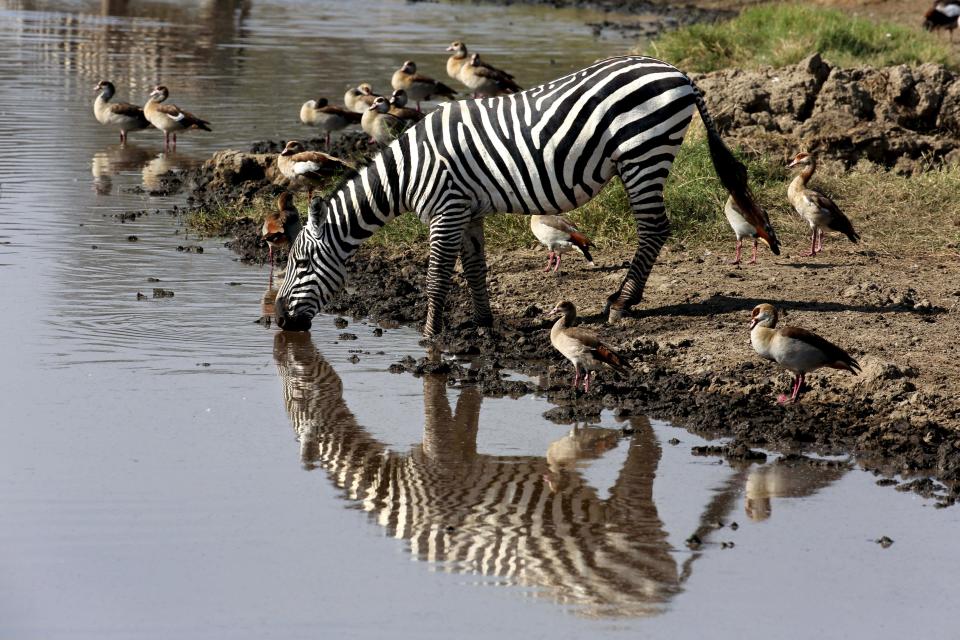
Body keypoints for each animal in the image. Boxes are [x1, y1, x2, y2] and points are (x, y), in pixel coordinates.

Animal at [270, 332, 752, 612]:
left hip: (626, 525)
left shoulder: (440, 465)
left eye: (295, 398)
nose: (283, 333)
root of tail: (666, 595)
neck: (397, 493)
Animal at [272, 56, 780, 336]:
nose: (278, 321)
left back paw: (621, 303)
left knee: (655, 228)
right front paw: (482, 324)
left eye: (301, 264)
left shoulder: (446, 208)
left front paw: (432, 335)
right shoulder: (468, 210)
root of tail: (677, 71)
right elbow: (475, 268)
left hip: (643, 152)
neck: (408, 171)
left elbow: (437, 276)